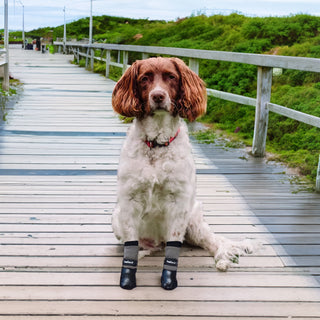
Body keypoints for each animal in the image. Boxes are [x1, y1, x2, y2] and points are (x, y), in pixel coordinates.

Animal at [111, 57, 254, 290]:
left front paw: (169, 279)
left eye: (171, 77)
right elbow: (130, 244)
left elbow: (174, 247)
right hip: (116, 218)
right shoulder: (129, 201)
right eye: (144, 78)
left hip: (194, 222)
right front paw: (128, 276)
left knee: (214, 242)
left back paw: (223, 260)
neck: (157, 144)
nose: (158, 96)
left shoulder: (178, 202)